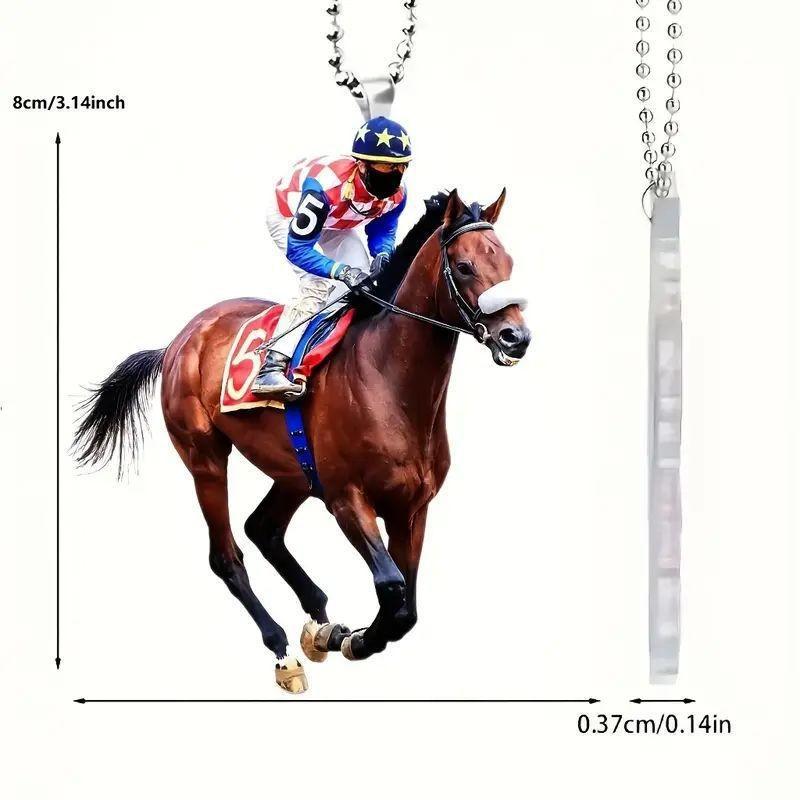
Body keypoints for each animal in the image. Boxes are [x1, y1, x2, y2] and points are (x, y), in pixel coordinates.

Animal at [73, 189, 531, 693]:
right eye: (464, 266)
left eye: (508, 261)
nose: (516, 337)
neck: (388, 382)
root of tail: (179, 340)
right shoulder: (347, 499)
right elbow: (391, 589)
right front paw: (356, 641)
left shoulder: (412, 509)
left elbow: (406, 608)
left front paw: (341, 635)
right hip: (204, 457)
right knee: (226, 556)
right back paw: (283, 649)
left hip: (293, 470)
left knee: (263, 528)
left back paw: (318, 620)